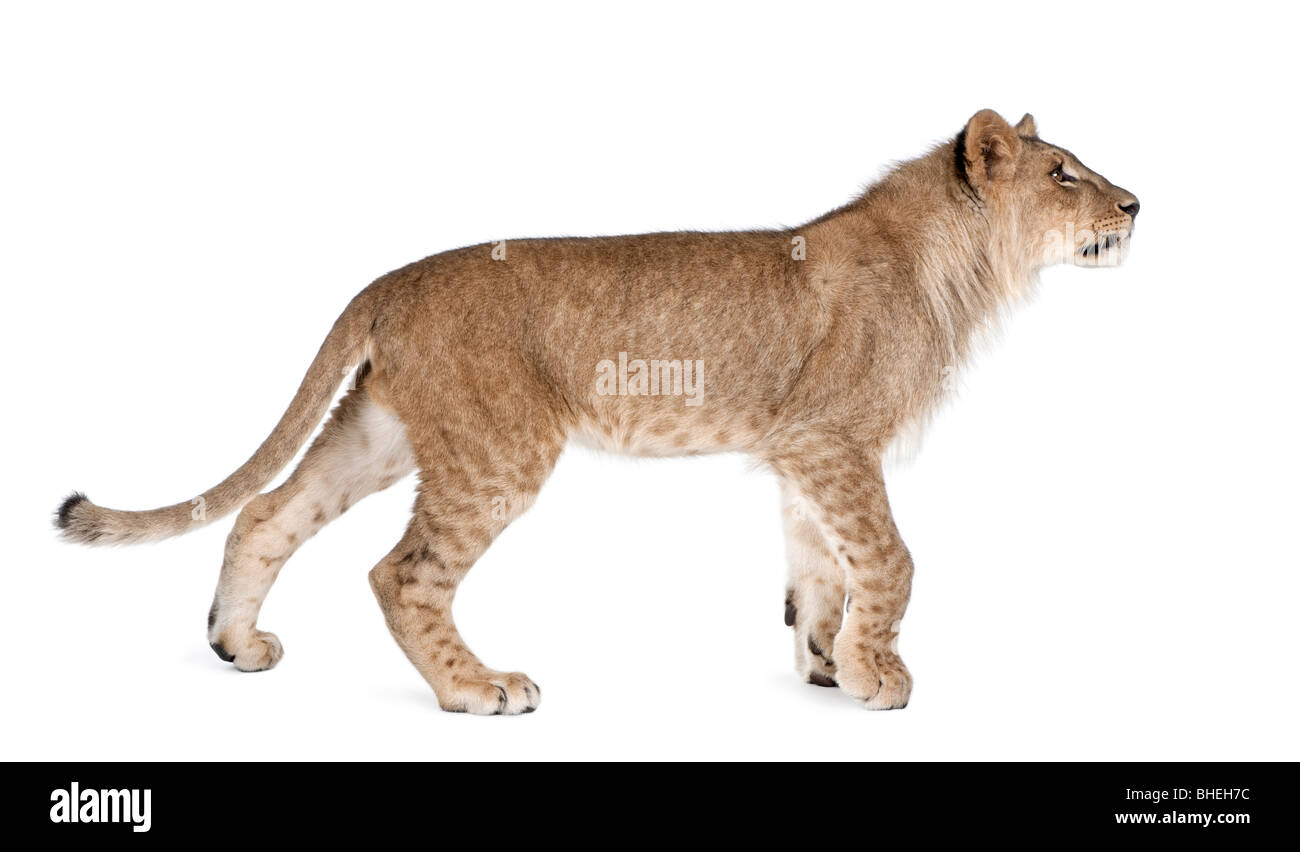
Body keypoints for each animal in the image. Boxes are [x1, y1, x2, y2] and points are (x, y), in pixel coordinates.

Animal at [56, 109, 1139, 714]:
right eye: (1063, 174)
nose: (1135, 206)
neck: (956, 263)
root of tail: (390, 281)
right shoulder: (833, 437)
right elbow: (889, 557)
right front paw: (884, 677)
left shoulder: (800, 449)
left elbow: (819, 567)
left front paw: (829, 664)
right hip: (497, 449)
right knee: (399, 572)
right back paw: (477, 688)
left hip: (386, 431)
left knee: (266, 514)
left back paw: (238, 647)